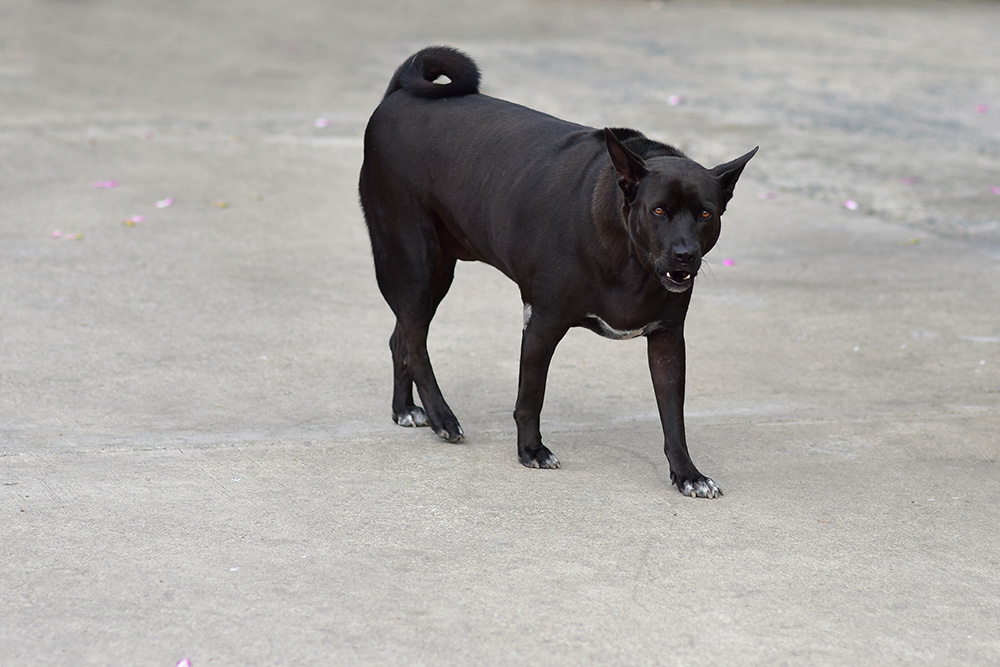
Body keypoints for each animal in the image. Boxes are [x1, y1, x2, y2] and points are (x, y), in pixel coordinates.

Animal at [360, 45, 756, 496]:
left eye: (706, 213)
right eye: (659, 211)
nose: (684, 254)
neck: (629, 259)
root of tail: (397, 95)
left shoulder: (668, 340)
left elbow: (673, 417)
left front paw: (687, 473)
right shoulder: (543, 323)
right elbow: (531, 396)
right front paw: (531, 450)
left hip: (434, 275)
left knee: (401, 337)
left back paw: (405, 409)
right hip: (414, 264)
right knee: (415, 342)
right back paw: (442, 417)